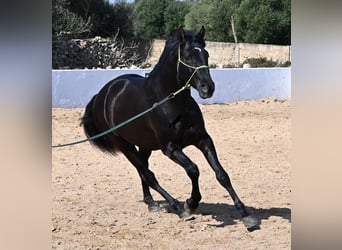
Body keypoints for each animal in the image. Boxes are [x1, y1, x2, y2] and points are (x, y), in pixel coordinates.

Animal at [81, 26, 256, 230]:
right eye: (188, 56)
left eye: (206, 54)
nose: (208, 88)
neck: (171, 101)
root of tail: (102, 95)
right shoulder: (170, 148)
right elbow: (193, 169)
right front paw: (190, 203)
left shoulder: (203, 140)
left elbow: (222, 174)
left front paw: (245, 215)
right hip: (124, 145)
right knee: (148, 174)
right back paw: (176, 207)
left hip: (144, 145)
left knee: (143, 171)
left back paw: (151, 202)